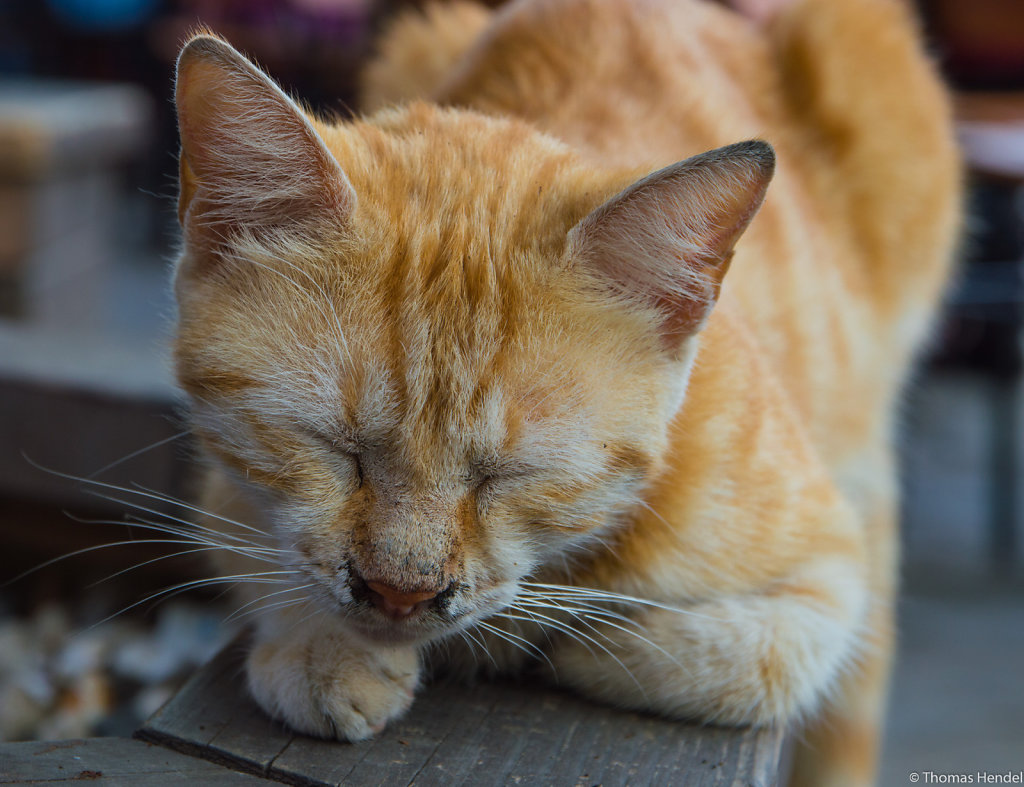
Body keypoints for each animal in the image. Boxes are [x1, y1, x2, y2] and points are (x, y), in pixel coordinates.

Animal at [169, 0, 958, 781]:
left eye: (511, 474)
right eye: (334, 446)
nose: (400, 593)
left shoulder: (833, 573)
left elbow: (742, 660)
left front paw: (573, 646)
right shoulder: (226, 489)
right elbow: (266, 552)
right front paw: (324, 648)